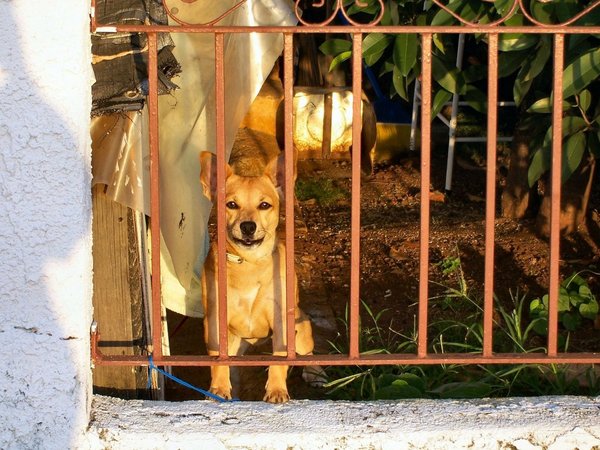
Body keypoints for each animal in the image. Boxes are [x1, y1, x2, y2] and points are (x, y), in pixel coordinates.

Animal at [200, 152, 324, 404]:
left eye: (264, 205)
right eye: (231, 204)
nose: (248, 226)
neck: (249, 263)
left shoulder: (281, 320)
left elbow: (279, 361)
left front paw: (276, 390)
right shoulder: (215, 321)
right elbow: (218, 361)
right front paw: (218, 388)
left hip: (301, 329)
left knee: (307, 351)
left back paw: (315, 372)